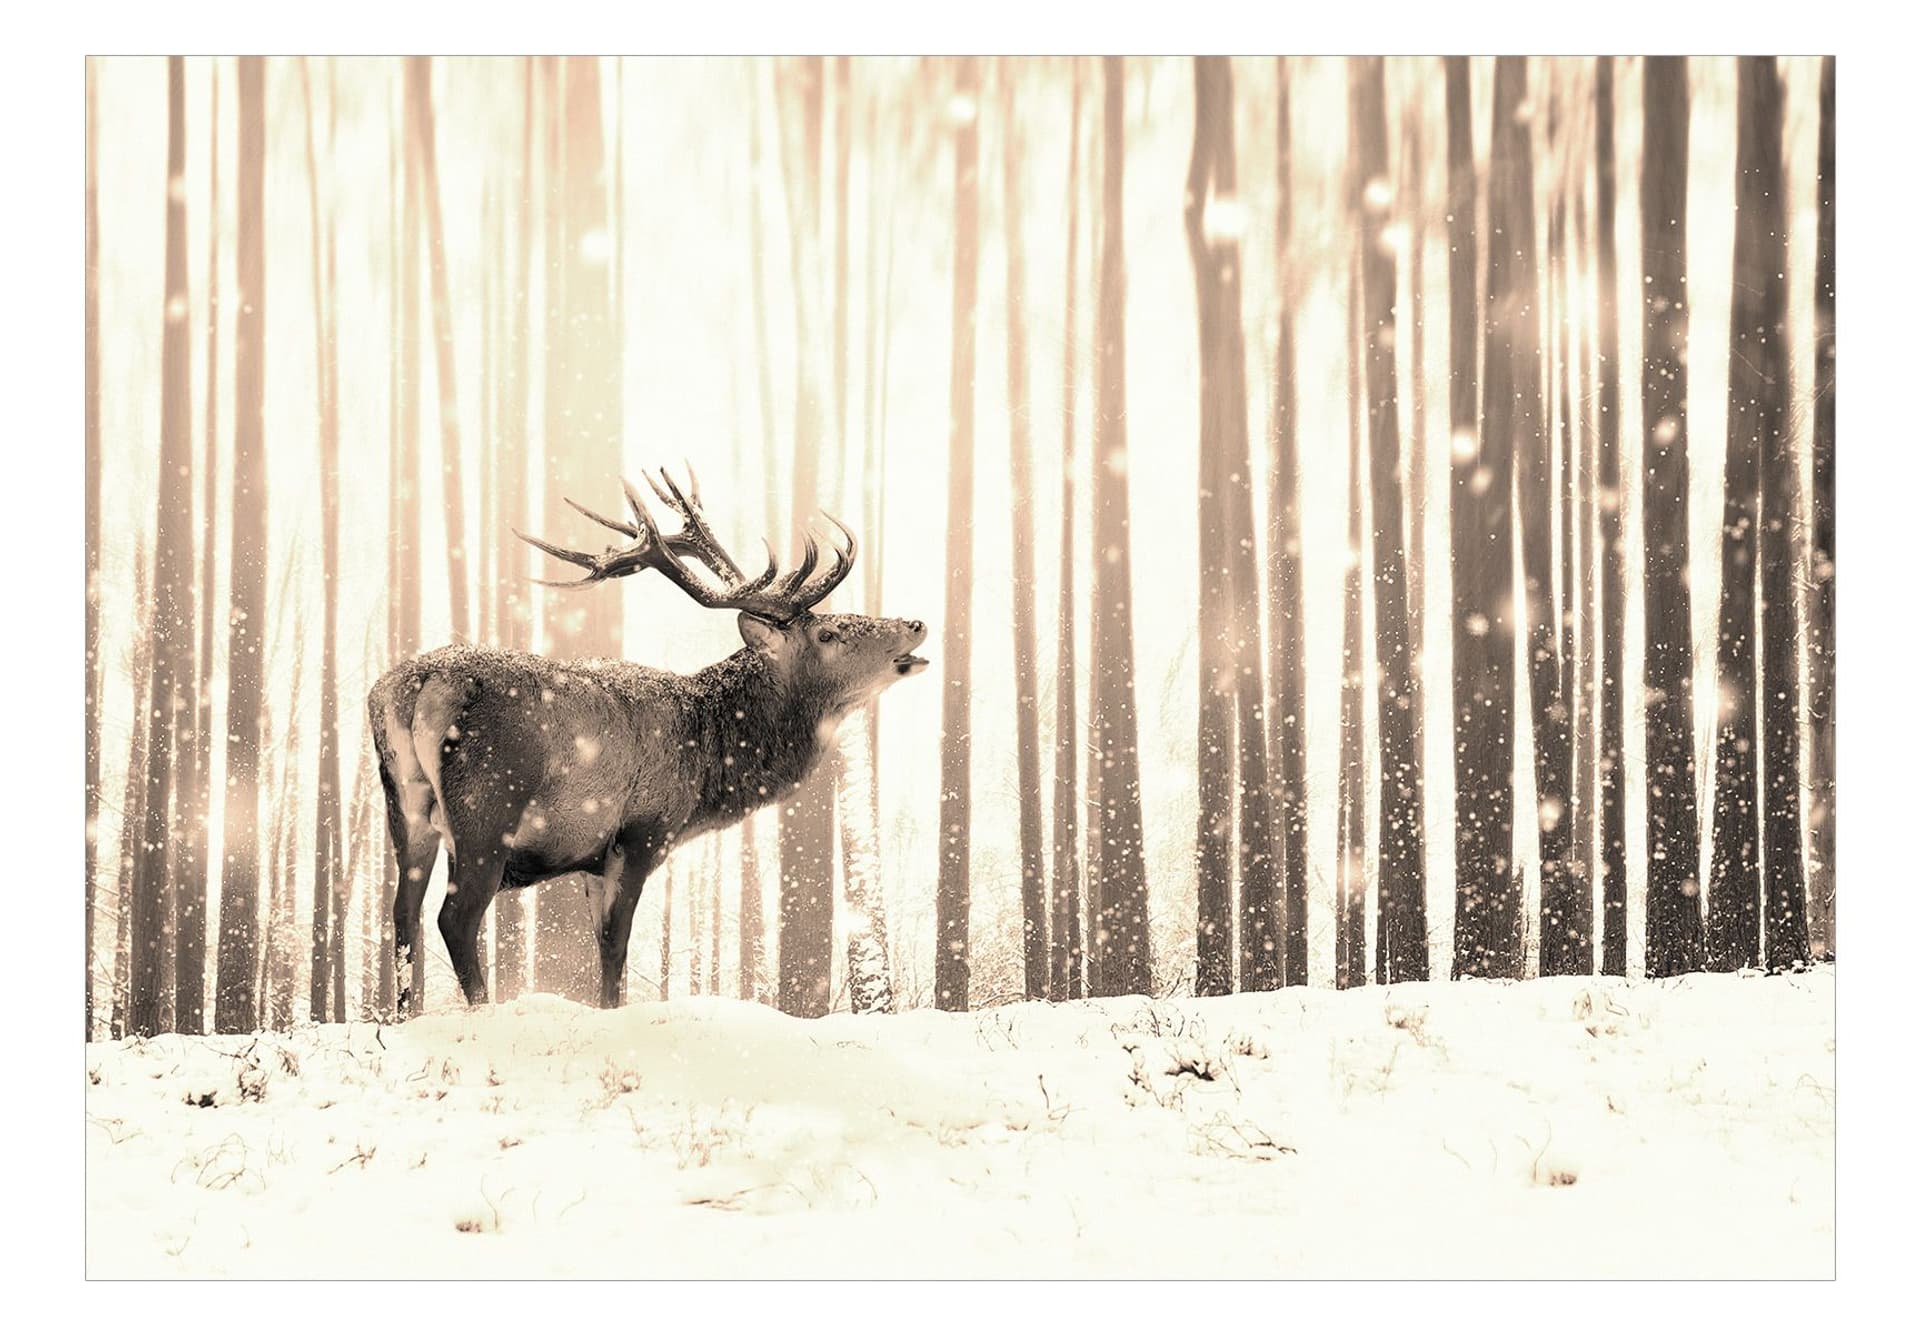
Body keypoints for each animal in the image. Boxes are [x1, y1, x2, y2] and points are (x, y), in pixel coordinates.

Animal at [368, 470, 929, 1013]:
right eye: (828, 634)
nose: (916, 623)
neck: (707, 763)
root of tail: (416, 686)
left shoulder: (592, 859)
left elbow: (601, 945)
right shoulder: (643, 831)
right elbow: (616, 947)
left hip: (406, 806)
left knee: (402, 914)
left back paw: (404, 1016)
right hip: (487, 806)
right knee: (455, 917)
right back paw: (480, 1012)